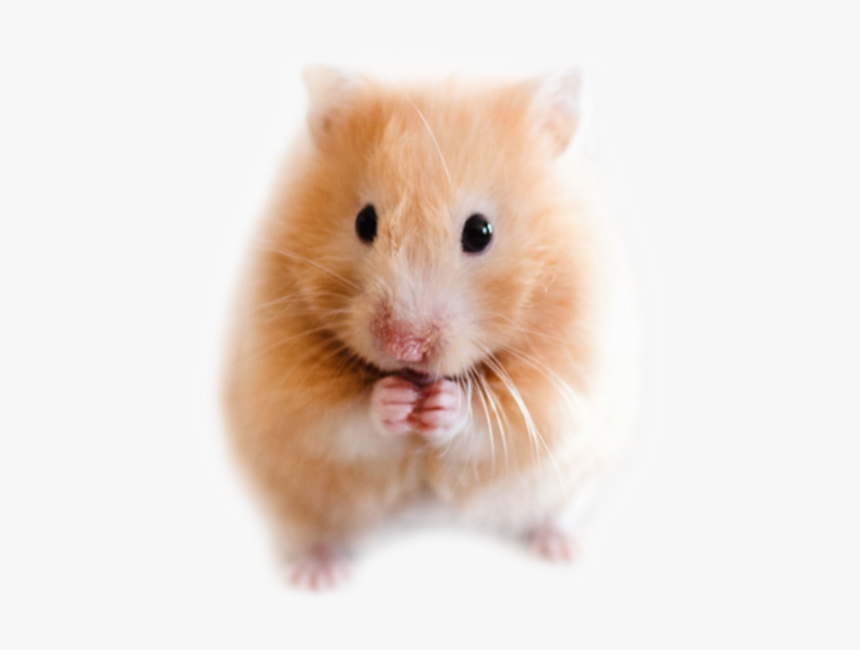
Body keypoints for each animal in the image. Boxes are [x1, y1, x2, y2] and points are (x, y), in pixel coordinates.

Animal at [222, 65, 638, 589]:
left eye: (479, 232)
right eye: (364, 221)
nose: (404, 345)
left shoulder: (564, 387)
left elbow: (492, 425)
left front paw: (442, 405)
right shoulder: (285, 389)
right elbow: (342, 421)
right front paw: (394, 400)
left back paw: (560, 549)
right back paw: (318, 575)